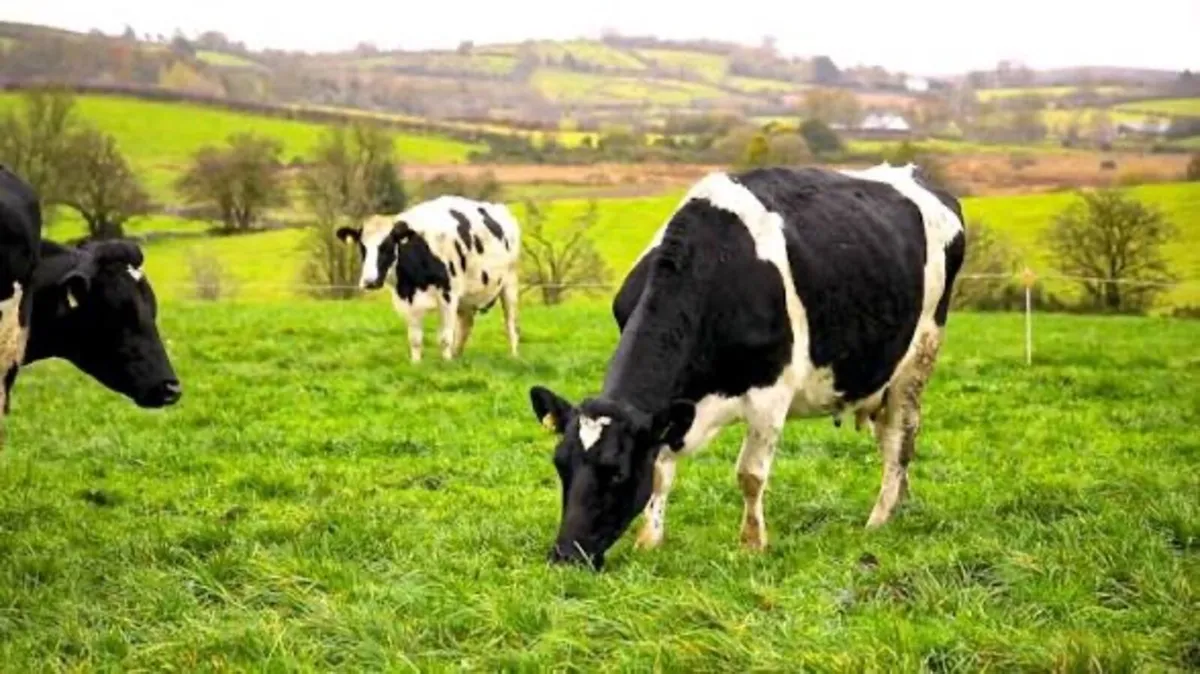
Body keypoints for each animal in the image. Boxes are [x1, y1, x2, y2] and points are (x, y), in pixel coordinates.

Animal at [337, 195, 521, 362]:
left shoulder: (448, 296)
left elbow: (445, 338)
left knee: (510, 325)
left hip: (509, 284)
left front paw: (446, 363)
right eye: (362, 247)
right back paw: (458, 356)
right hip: (467, 297)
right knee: (466, 324)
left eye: (387, 245)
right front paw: (416, 364)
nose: (370, 282)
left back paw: (513, 356)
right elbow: (415, 339)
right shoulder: (407, 301)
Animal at [527, 162, 966, 570]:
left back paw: (879, 519)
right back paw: (901, 503)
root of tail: (915, 175)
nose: (564, 555)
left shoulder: (772, 394)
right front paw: (649, 540)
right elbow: (660, 470)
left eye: (616, 472)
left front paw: (752, 544)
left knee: (900, 439)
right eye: (560, 465)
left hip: (919, 355)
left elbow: (750, 474)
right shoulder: (670, 410)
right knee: (889, 435)